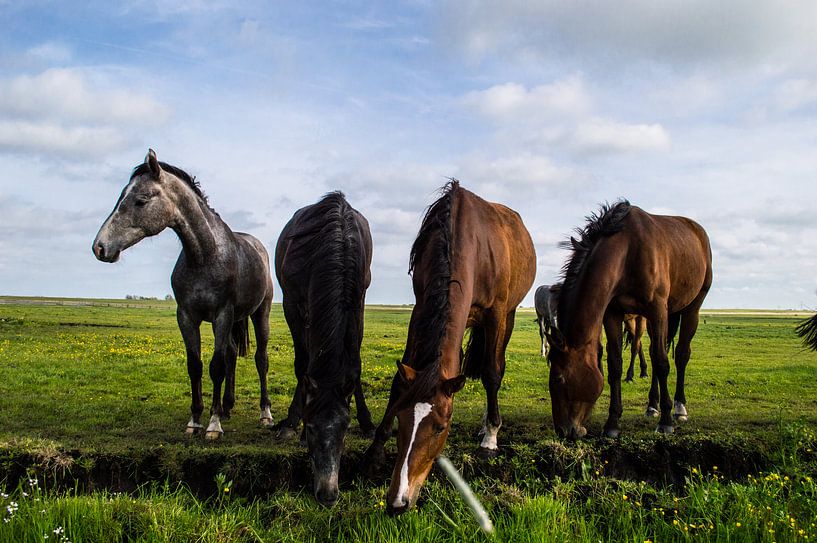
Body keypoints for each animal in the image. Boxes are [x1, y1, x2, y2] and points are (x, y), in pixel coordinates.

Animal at [92, 150, 274, 440]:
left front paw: (213, 425)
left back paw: (264, 413)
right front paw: (195, 420)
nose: (100, 247)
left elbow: (216, 366)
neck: (205, 256)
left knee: (260, 359)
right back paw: (227, 406)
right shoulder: (186, 317)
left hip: (260, 313)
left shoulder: (222, 315)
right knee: (232, 354)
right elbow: (195, 365)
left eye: (141, 200)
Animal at [273, 192, 374, 507]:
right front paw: (294, 423)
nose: (328, 495)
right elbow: (302, 364)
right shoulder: (292, 303)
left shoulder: (357, 300)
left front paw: (367, 421)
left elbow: (355, 363)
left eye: (345, 429)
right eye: (312, 428)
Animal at [361, 181, 536, 515]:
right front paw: (375, 449)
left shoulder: (495, 313)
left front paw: (490, 439)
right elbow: (400, 377)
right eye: (402, 417)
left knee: (497, 366)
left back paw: (488, 428)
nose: (398, 502)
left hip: (508, 315)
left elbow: (492, 373)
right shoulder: (421, 306)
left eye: (441, 428)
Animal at [546, 201, 711, 439]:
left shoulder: (657, 310)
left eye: (559, 379)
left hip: (691, 308)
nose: (562, 430)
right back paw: (652, 405)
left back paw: (679, 408)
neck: (627, 253)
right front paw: (612, 423)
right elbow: (615, 364)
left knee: (680, 354)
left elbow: (662, 362)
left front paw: (666, 421)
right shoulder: (613, 313)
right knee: (654, 350)